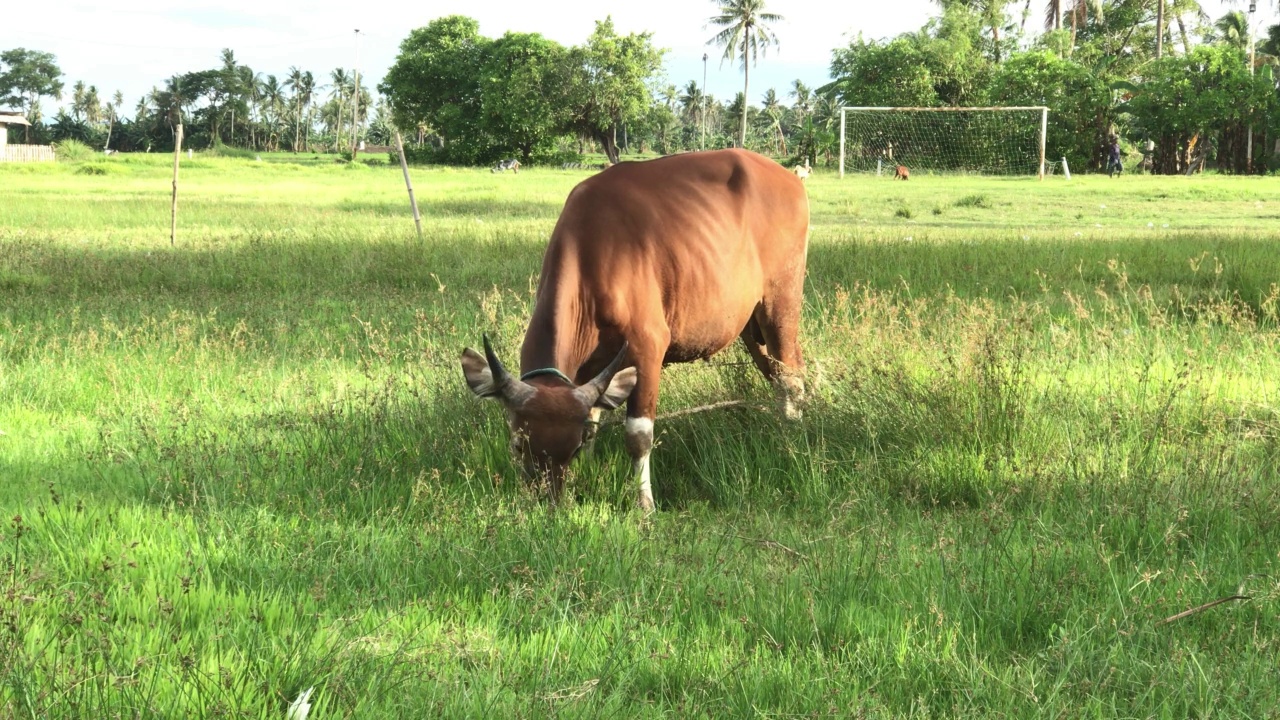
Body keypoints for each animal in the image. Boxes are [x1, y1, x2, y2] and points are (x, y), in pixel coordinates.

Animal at [460, 146, 803, 507]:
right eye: (518, 445)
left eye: (572, 448)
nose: (547, 501)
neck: (592, 256)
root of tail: (787, 177)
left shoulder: (648, 348)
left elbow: (638, 436)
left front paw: (645, 505)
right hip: (751, 324)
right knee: (778, 371)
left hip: (781, 301)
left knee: (790, 373)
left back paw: (792, 440)